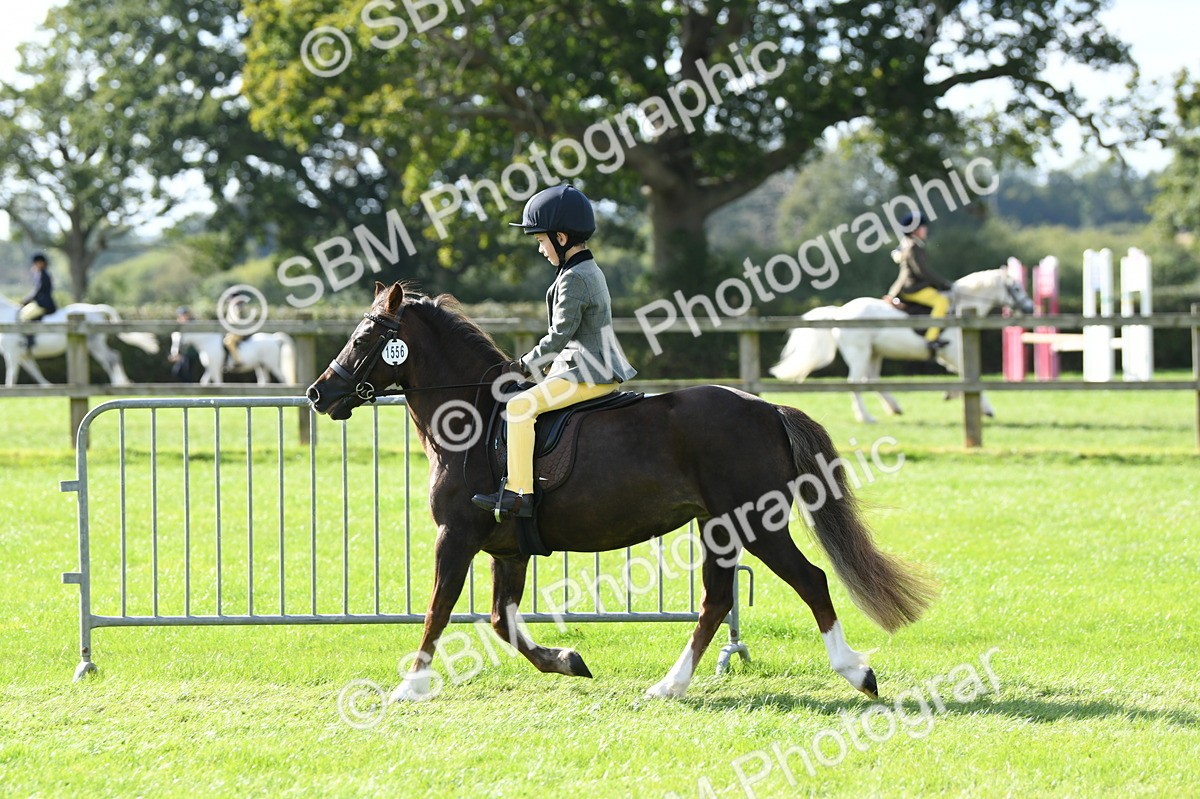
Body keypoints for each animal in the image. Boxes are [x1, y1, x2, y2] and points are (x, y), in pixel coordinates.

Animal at [0, 295, 160, 387]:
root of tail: (96, 309)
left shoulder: (12, 353)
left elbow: (11, 375)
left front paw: (9, 391)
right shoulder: (23, 355)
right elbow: (35, 371)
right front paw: (48, 386)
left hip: (94, 344)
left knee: (111, 358)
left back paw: (118, 383)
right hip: (95, 345)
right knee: (112, 357)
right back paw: (121, 383)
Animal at [307, 282, 935, 702]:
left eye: (364, 337)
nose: (318, 394)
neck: (475, 419)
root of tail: (764, 408)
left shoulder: (455, 537)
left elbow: (439, 610)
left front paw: (409, 687)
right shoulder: (507, 550)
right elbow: (502, 622)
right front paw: (568, 661)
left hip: (756, 523)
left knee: (810, 581)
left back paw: (857, 673)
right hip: (719, 528)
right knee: (715, 601)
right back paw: (670, 685)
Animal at [769, 268, 1034, 423]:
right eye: (1017, 287)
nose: (1030, 308)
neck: (961, 307)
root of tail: (840, 312)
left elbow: (963, 377)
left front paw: (954, 394)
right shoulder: (953, 352)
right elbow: (969, 377)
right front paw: (984, 408)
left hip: (874, 354)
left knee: (871, 381)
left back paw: (893, 407)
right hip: (859, 353)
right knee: (855, 383)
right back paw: (866, 417)